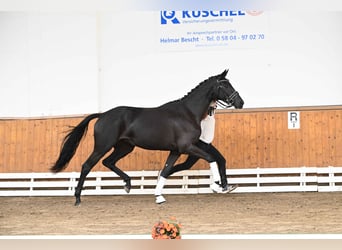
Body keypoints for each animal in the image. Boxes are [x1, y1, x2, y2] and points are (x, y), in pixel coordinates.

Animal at [50, 70, 243, 205]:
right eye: (225, 86)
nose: (241, 103)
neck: (187, 113)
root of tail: (103, 115)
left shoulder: (176, 150)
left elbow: (165, 170)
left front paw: (158, 197)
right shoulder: (187, 147)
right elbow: (211, 158)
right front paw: (216, 185)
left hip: (125, 147)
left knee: (108, 162)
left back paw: (128, 184)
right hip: (102, 146)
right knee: (87, 166)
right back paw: (77, 198)